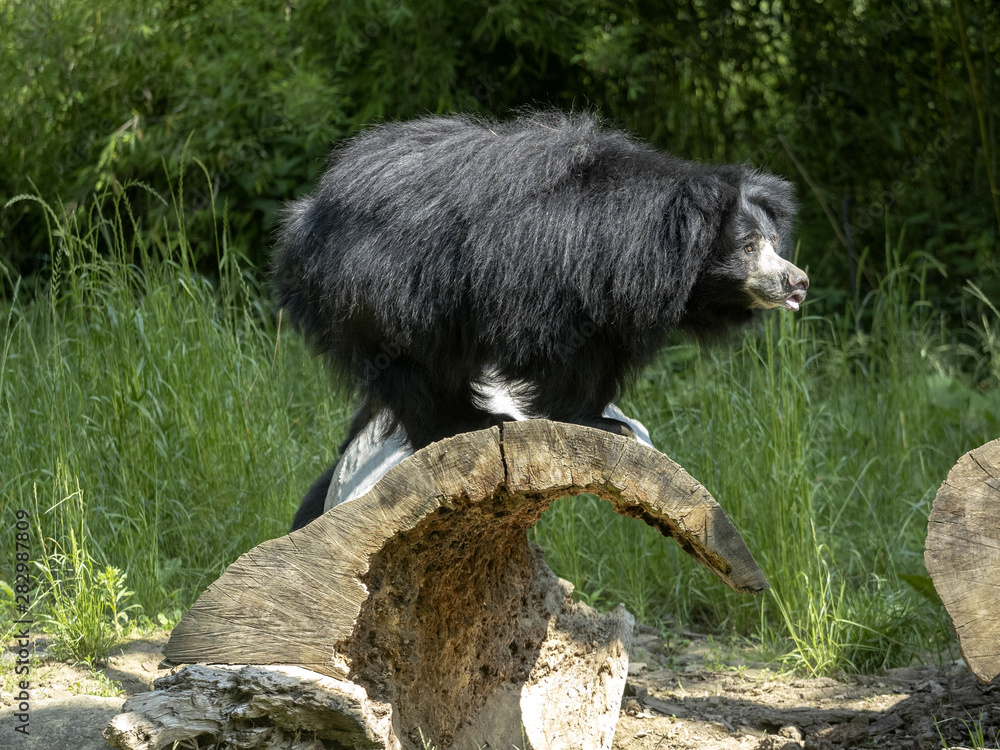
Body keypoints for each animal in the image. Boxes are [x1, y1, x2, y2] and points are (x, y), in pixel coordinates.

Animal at [274, 110, 808, 529]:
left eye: (772, 243)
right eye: (748, 247)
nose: (797, 281)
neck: (644, 246)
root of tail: (305, 219)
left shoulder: (612, 309)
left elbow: (603, 353)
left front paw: (608, 418)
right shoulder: (554, 274)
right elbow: (559, 350)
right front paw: (597, 422)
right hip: (384, 289)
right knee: (418, 369)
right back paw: (470, 421)